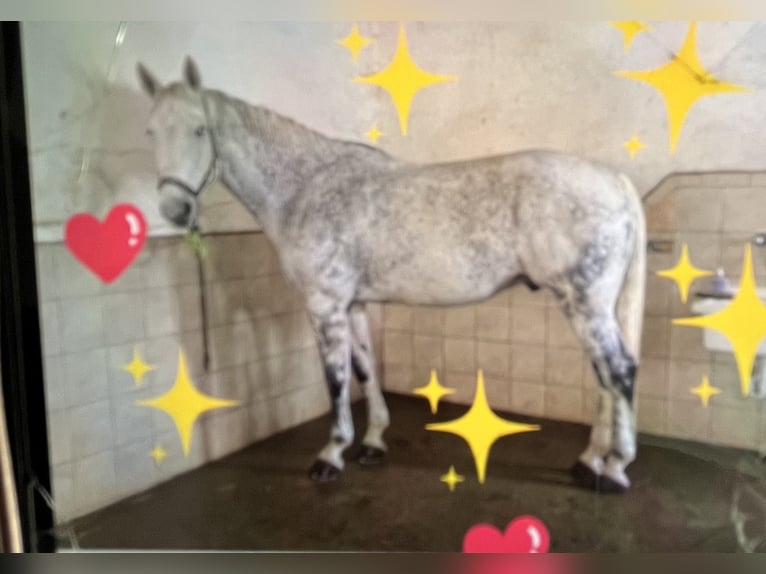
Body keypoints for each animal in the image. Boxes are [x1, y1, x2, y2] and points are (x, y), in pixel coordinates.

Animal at [137, 57, 646, 493]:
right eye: (150, 131)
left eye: (200, 130)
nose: (175, 210)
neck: (305, 188)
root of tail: (617, 182)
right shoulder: (354, 304)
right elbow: (365, 368)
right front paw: (372, 443)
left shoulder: (324, 306)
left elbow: (336, 379)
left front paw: (331, 455)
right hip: (589, 305)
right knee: (604, 374)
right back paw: (590, 460)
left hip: (585, 303)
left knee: (619, 370)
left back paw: (614, 467)